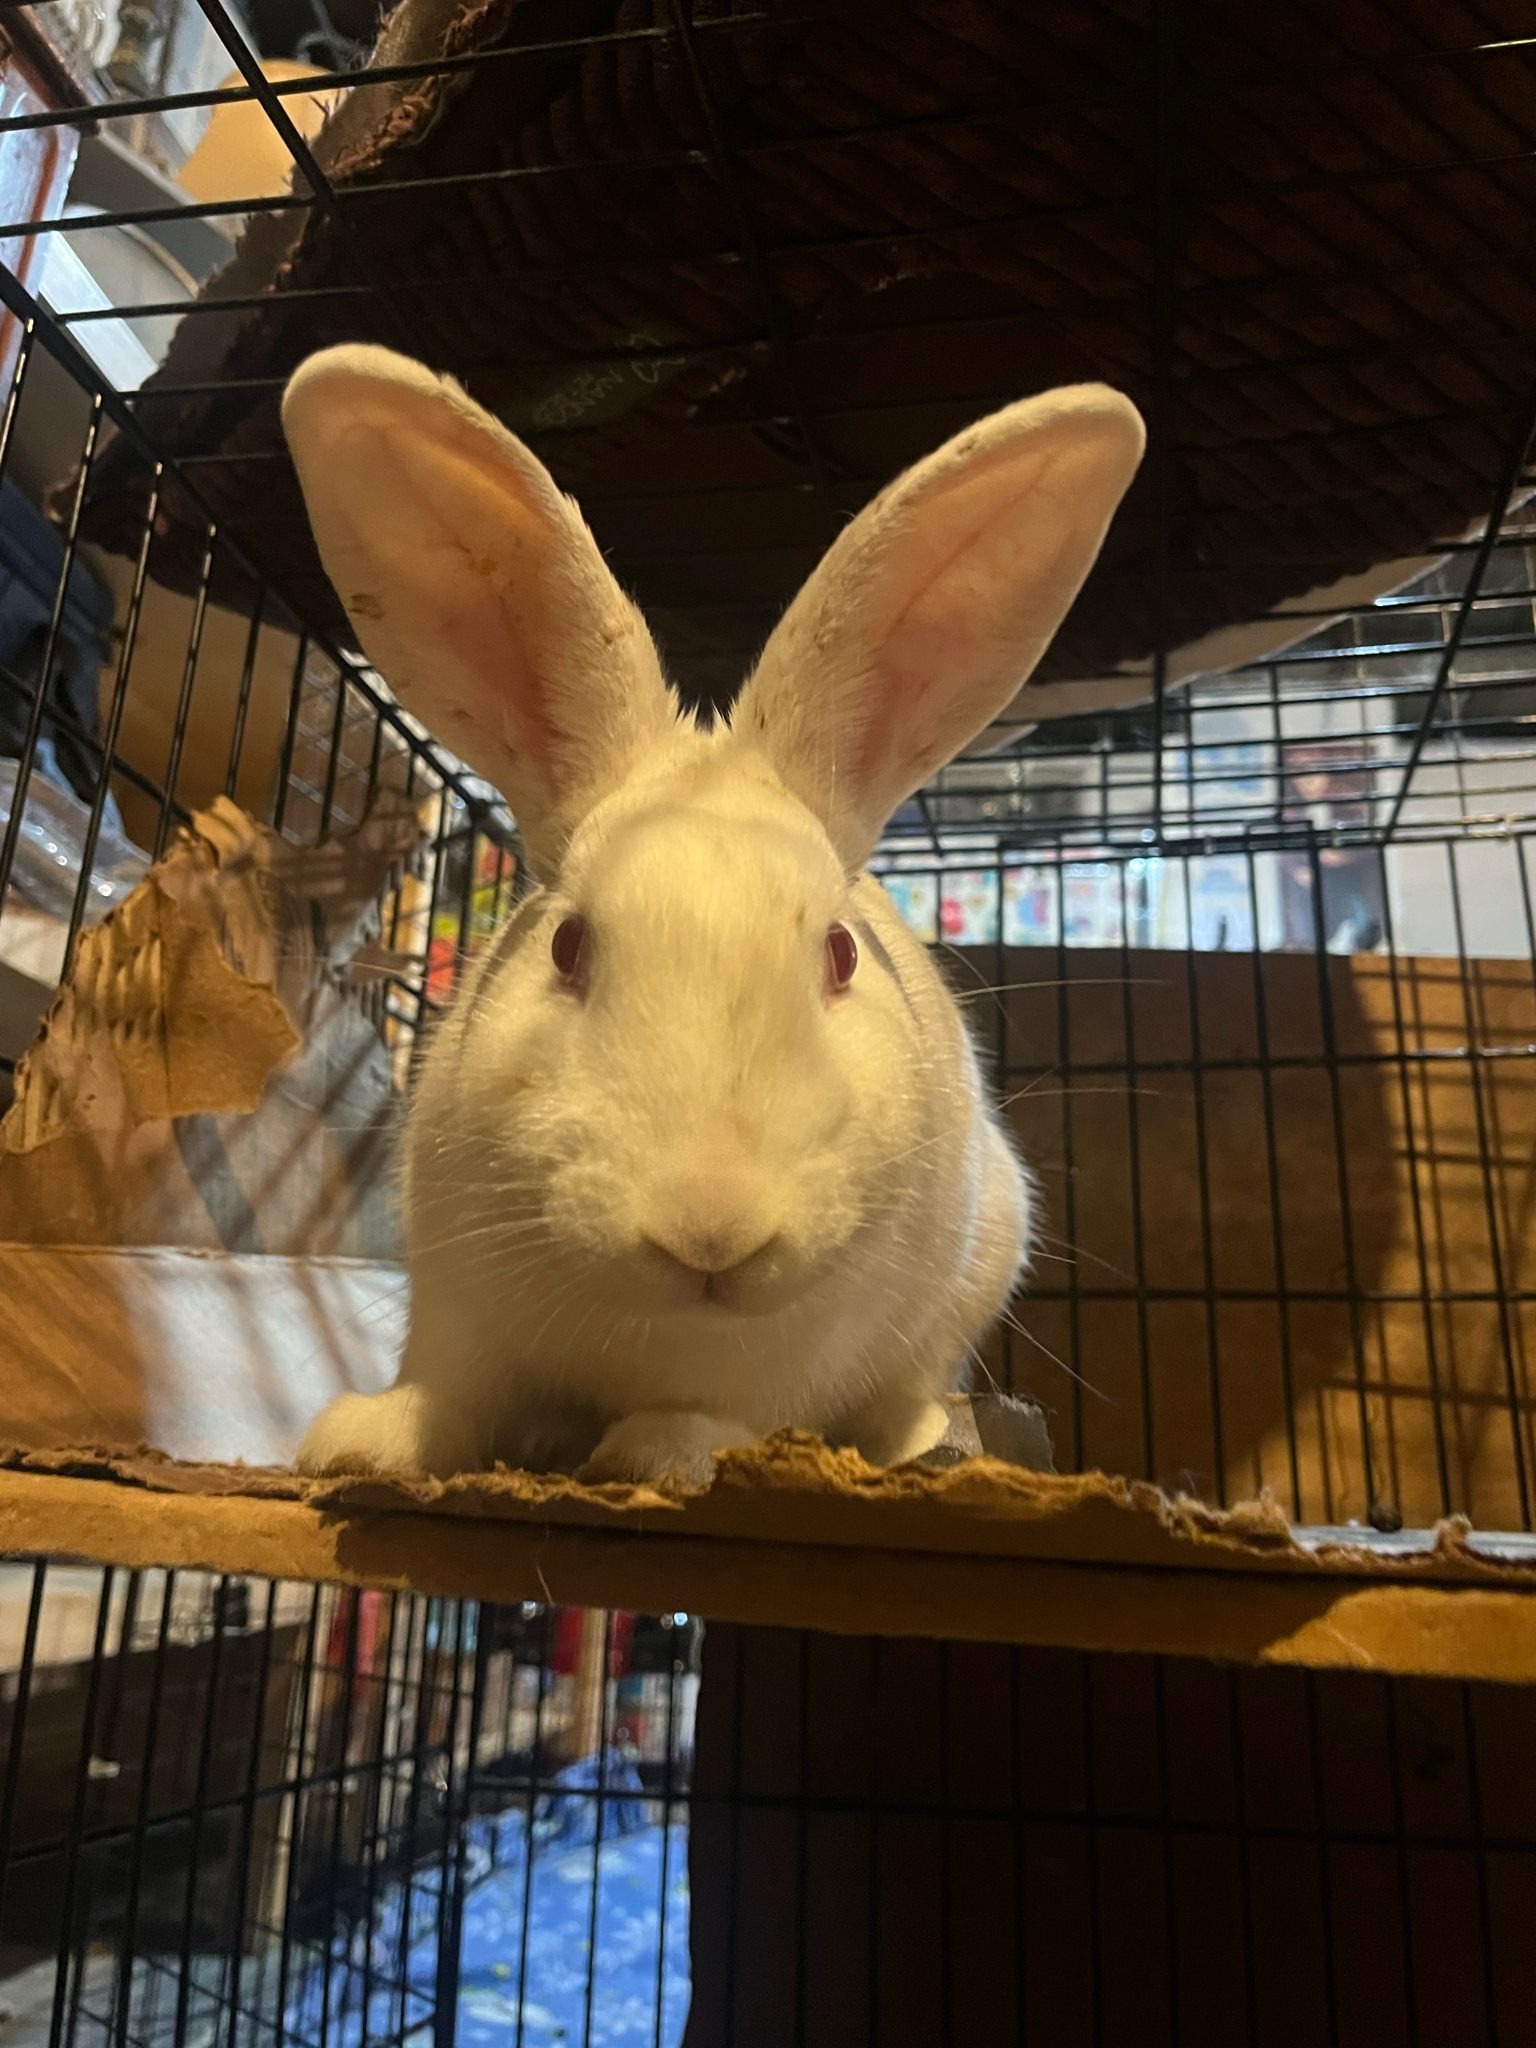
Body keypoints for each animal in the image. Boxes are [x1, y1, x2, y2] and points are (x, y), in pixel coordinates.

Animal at [282, 345, 1144, 1485]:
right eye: (568, 946)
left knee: (917, 1386)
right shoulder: (453, 1295)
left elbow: (726, 1409)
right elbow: (447, 1389)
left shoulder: (793, 1354)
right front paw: (363, 1440)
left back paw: (922, 1438)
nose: (710, 1225)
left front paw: (663, 1452)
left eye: (839, 954)